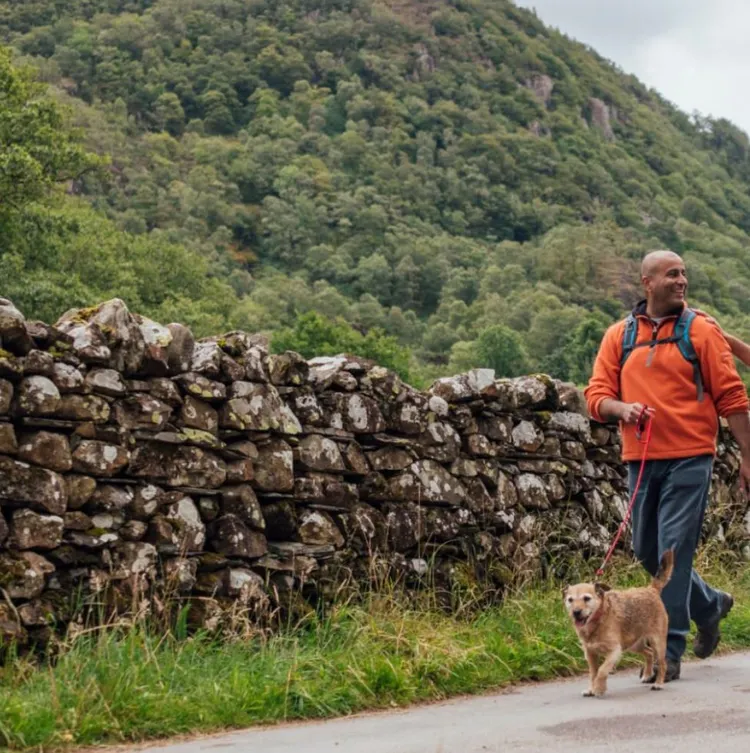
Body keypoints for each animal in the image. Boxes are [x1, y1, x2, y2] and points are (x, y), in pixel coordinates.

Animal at [564, 548, 676, 700]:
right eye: (570, 600)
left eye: (586, 598)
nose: (576, 612)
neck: (599, 619)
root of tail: (651, 589)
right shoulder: (590, 654)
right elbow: (593, 673)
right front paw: (591, 689)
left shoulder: (614, 651)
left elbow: (602, 670)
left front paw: (599, 689)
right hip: (634, 644)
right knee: (648, 653)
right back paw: (647, 674)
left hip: (657, 642)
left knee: (662, 663)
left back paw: (658, 683)